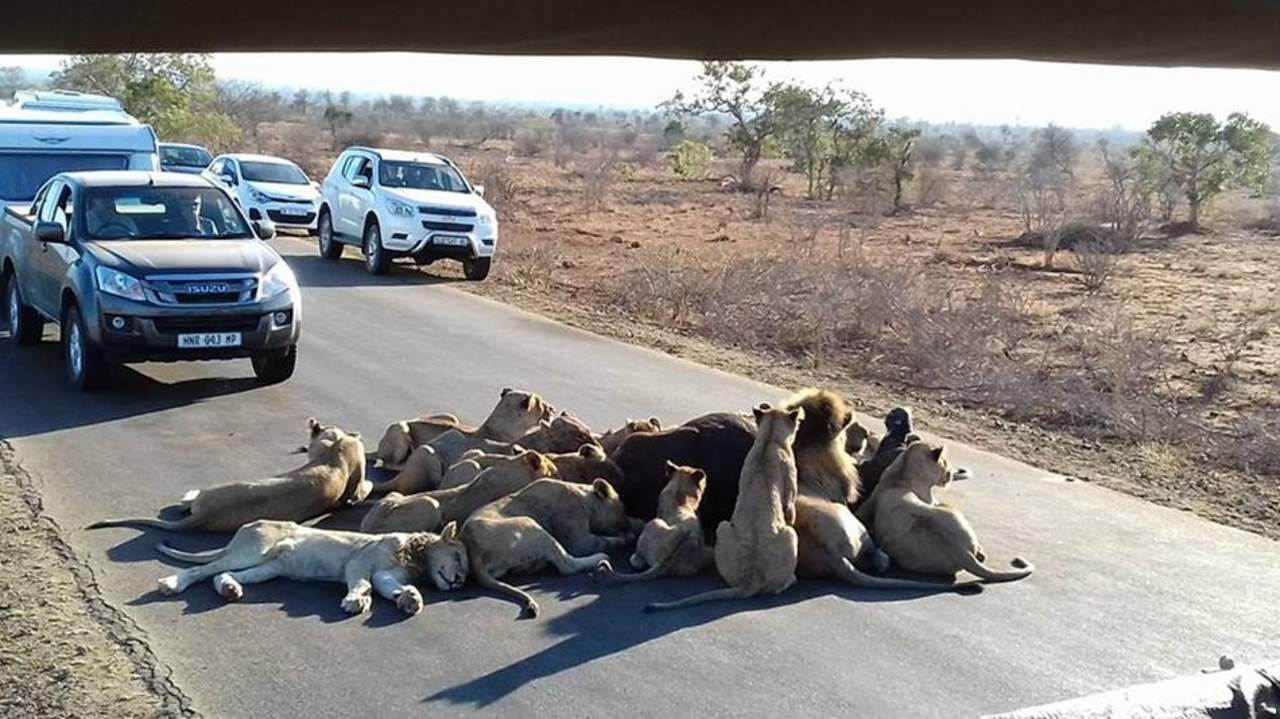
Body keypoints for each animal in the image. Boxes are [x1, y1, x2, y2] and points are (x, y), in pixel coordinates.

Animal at [154, 516, 465, 614]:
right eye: (459, 558)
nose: (460, 581)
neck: (417, 557)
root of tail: (245, 527)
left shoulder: (384, 574)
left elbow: (389, 588)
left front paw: (410, 599)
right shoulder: (359, 563)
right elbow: (361, 584)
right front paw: (356, 601)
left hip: (269, 568)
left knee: (222, 574)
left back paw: (230, 589)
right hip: (253, 551)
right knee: (201, 570)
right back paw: (172, 584)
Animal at [465, 475, 634, 616]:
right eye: (622, 508)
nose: (627, 524)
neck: (584, 498)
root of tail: (472, 549)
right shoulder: (576, 536)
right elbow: (599, 541)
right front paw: (625, 538)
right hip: (529, 524)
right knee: (567, 565)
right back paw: (601, 557)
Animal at [650, 404, 798, 608]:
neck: (769, 439)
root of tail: (750, 581)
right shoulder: (790, 495)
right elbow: (790, 511)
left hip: (724, 526)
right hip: (789, 534)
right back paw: (791, 580)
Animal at [860, 437, 1029, 583]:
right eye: (946, 462)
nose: (950, 474)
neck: (902, 472)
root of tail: (963, 553)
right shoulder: (933, 501)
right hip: (953, 511)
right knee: (981, 555)